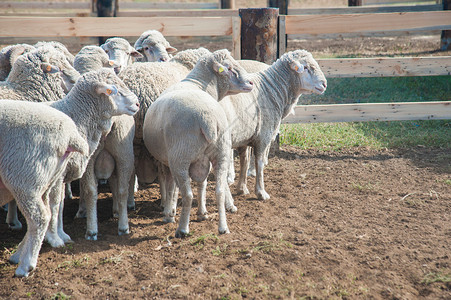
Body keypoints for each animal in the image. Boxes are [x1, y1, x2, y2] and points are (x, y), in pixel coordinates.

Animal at [0, 99, 90, 278]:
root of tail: (71, 134)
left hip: (24, 178)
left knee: (39, 218)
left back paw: (25, 265)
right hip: (45, 181)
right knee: (46, 213)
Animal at [143, 49, 252, 237]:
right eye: (229, 68)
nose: (251, 82)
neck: (199, 84)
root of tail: (208, 119)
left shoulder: (167, 159)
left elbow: (172, 187)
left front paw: (169, 213)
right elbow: (202, 184)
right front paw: (202, 213)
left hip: (180, 158)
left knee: (187, 194)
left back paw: (182, 229)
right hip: (221, 153)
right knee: (219, 190)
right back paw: (223, 227)